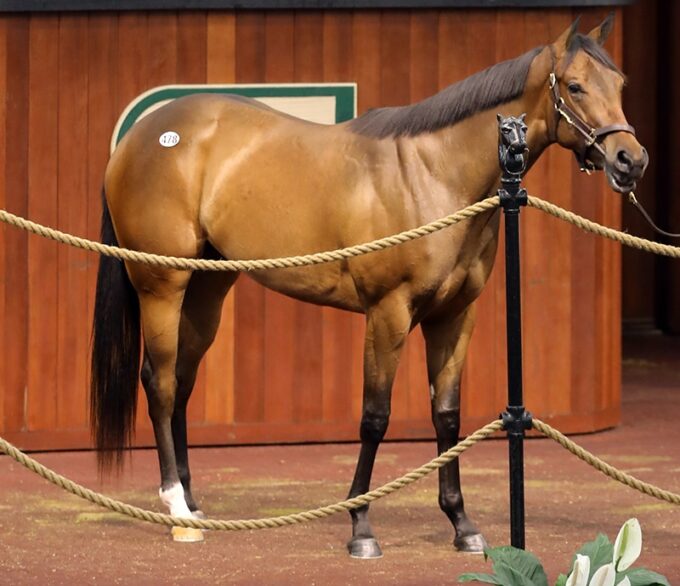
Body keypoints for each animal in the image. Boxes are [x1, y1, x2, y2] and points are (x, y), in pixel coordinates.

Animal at [91, 16, 648, 556]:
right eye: (574, 86)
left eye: (619, 84)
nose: (631, 159)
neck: (434, 175)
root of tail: (142, 136)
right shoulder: (388, 313)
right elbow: (375, 417)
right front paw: (360, 525)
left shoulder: (454, 316)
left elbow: (447, 416)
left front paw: (461, 524)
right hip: (162, 285)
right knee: (161, 383)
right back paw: (177, 510)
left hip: (207, 289)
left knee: (182, 382)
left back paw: (191, 502)